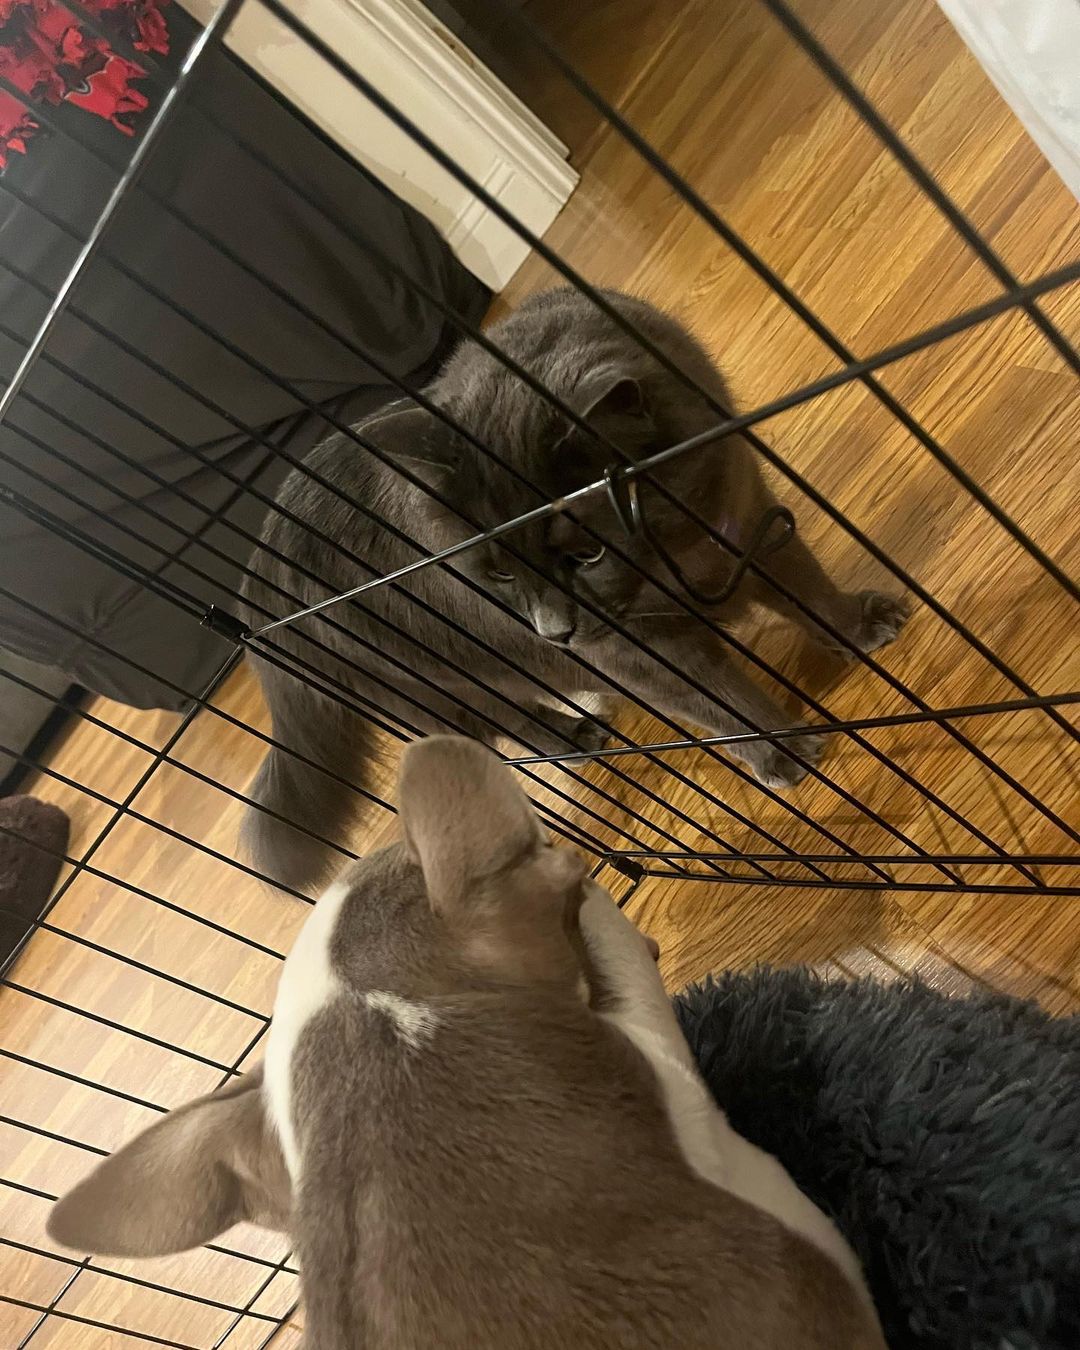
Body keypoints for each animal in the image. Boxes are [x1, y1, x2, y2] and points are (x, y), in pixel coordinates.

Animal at [240, 290, 907, 891]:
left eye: (586, 554)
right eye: (500, 574)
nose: (553, 631)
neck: (677, 550)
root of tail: (254, 600)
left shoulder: (750, 521)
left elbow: (808, 590)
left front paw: (864, 624)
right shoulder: (634, 649)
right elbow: (720, 701)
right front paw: (782, 754)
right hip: (434, 684)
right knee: (501, 725)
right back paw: (575, 738)